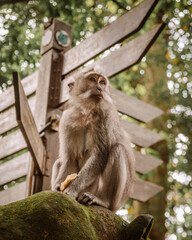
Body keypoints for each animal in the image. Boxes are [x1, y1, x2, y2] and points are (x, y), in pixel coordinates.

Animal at [51, 68, 135, 212]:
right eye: (92, 79)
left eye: (102, 82)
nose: (99, 88)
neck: (87, 112)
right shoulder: (67, 120)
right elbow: (69, 159)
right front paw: (58, 188)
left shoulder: (105, 116)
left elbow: (100, 154)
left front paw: (72, 188)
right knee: (58, 162)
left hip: (108, 195)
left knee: (117, 149)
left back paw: (103, 201)